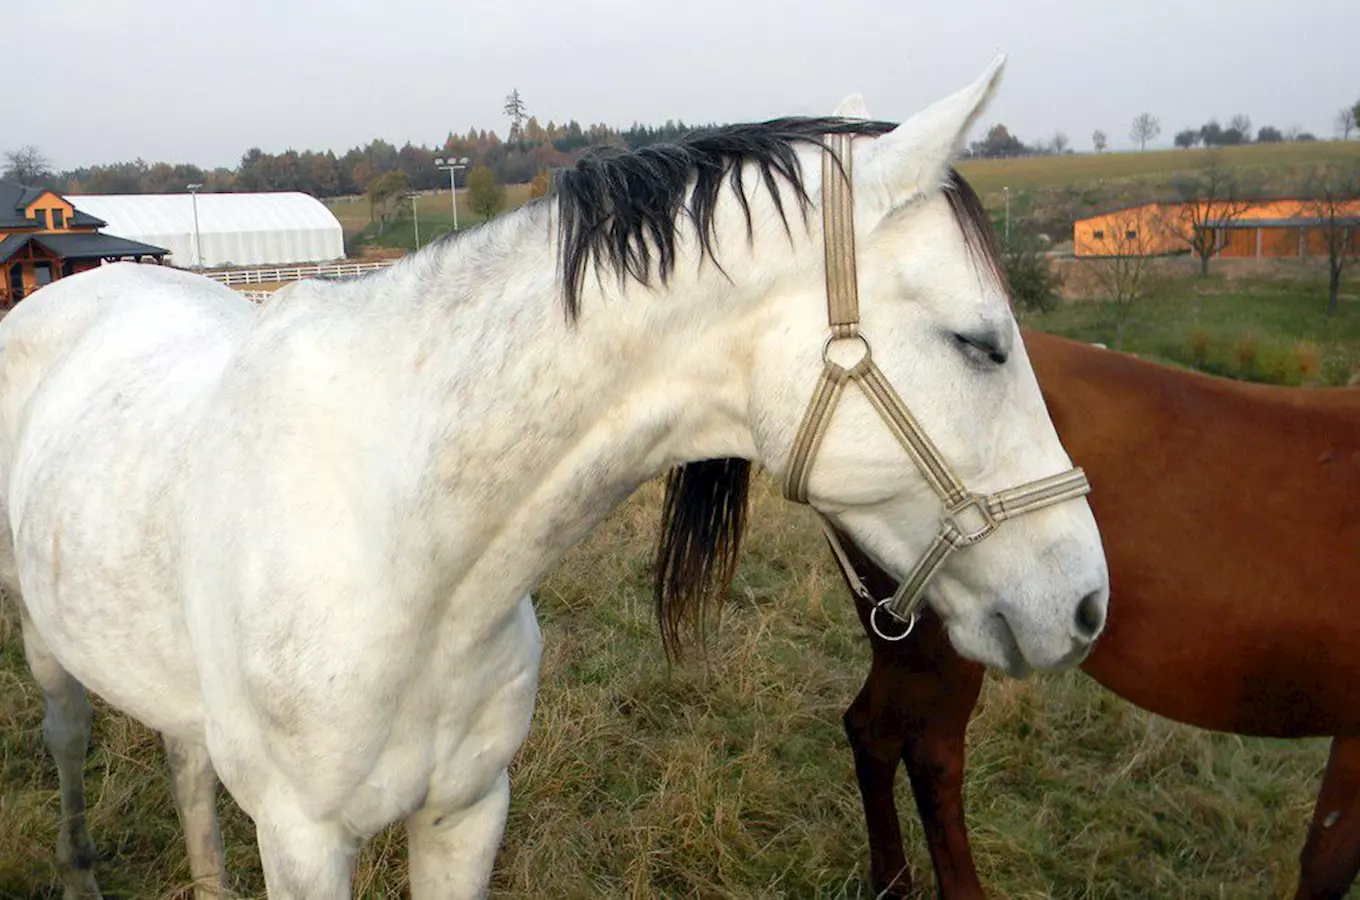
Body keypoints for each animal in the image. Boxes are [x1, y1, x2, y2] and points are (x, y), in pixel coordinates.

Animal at [0, 58, 1104, 900]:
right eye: (980, 343)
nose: (1087, 605)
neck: (404, 546)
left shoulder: (465, 812)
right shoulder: (306, 841)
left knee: (186, 767)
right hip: (49, 650)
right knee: (66, 738)